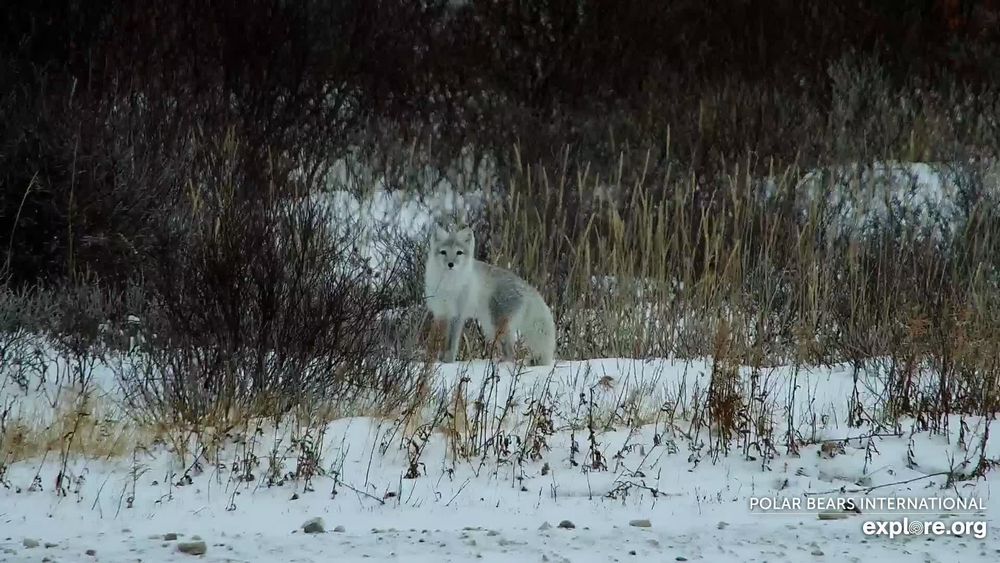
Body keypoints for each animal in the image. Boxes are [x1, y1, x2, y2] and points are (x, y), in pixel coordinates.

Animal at [423, 224, 556, 366]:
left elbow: (451, 343)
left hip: (496, 326)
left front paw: (448, 362)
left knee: (510, 353)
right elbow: (441, 340)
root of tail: (525, 286)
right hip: (490, 326)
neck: (448, 285)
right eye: (443, 252)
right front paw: (438, 360)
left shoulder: (457, 315)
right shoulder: (441, 313)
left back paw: (501, 365)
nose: (450, 264)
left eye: (459, 252)